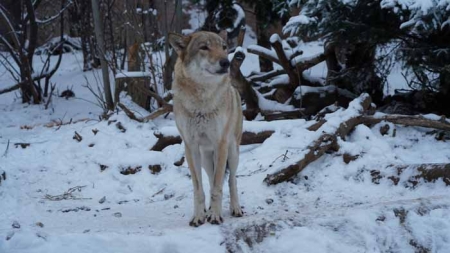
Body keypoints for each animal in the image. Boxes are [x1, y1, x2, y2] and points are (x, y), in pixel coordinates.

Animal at [169, 30, 244, 226]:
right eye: (204, 47)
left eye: (224, 47)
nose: (226, 62)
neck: (201, 103)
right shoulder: (191, 147)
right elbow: (199, 189)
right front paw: (199, 216)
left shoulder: (220, 144)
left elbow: (218, 187)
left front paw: (216, 216)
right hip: (205, 159)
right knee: (211, 180)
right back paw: (209, 210)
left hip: (232, 152)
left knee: (232, 180)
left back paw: (236, 208)